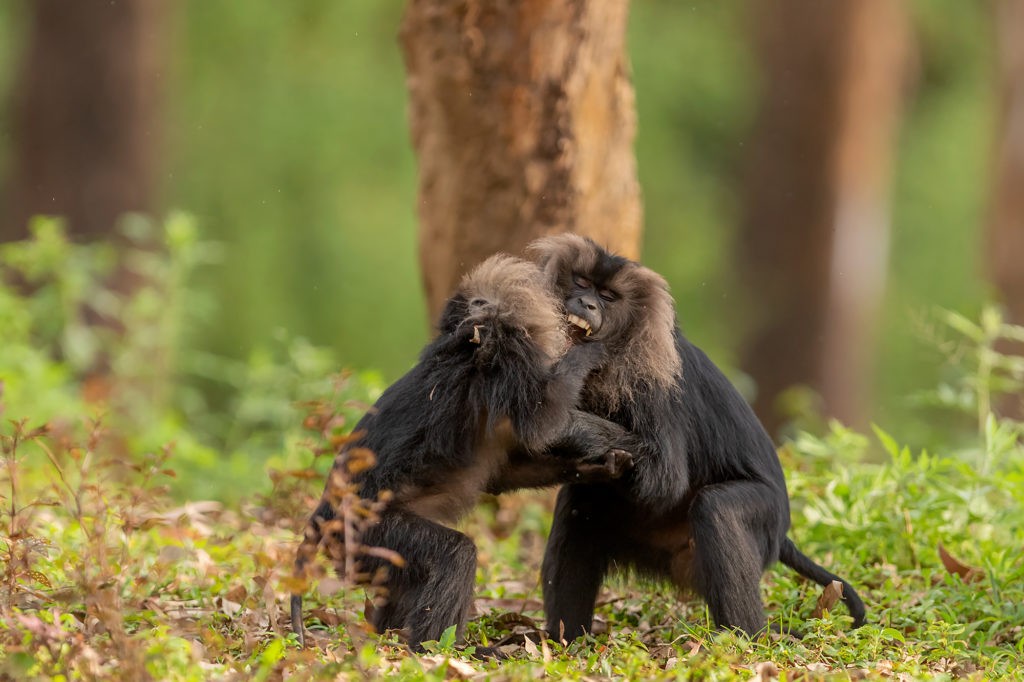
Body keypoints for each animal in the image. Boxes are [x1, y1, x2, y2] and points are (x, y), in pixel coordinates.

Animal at [290, 254, 636, 651]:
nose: (584, 304)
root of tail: (323, 513)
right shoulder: (506, 353)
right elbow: (543, 420)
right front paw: (589, 361)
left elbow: (506, 471)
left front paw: (600, 468)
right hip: (364, 532)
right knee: (455, 555)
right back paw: (437, 649)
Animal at [526, 234, 866, 641]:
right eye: (581, 283)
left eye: (607, 296)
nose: (587, 304)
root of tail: (782, 531)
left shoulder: (654, 387)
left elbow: (665, 478)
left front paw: (563, 423)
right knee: (581, 503)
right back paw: (565, 639)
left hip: (764, 521)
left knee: (716, 507)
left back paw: (746, 639)